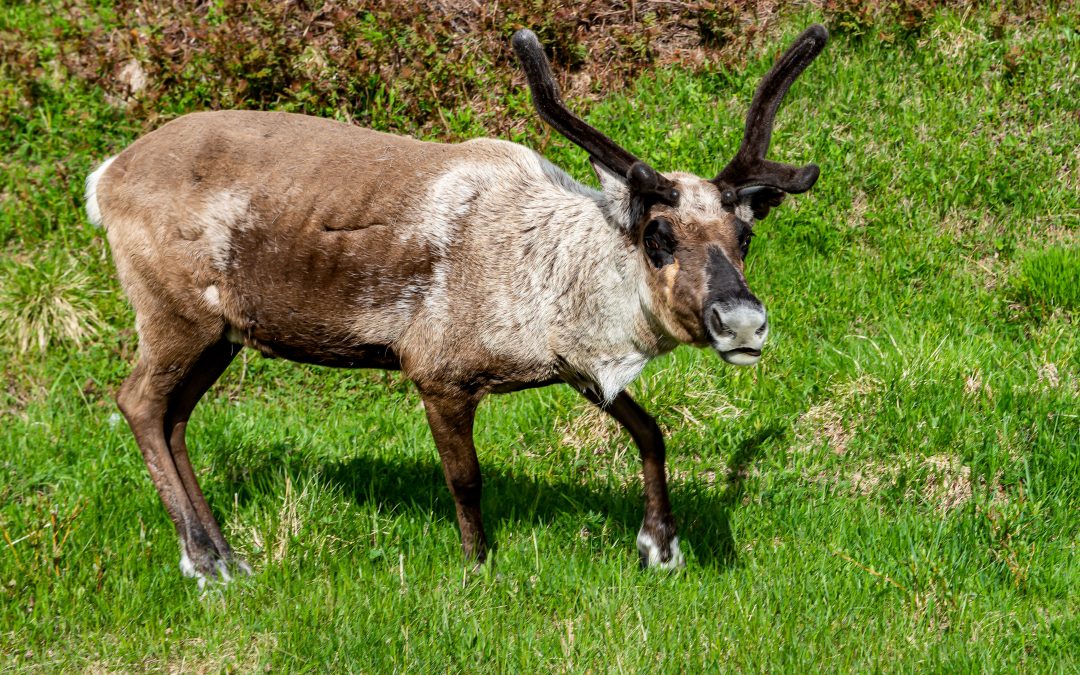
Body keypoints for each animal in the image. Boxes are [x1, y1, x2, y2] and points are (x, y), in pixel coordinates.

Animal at [85, 25, 827, 584]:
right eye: (657, 234)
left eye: (745, 234)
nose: (742, 322)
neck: (550, 273)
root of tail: (104, 177)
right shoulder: (437, 371)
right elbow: (465, 478)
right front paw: (478, 567)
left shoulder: (575, 367)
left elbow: (651, 430)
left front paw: (661, 546)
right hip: (175, 314)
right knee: (139, 401)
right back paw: (203, 561)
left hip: (222, 332)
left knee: (176, 414)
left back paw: (226, 552)